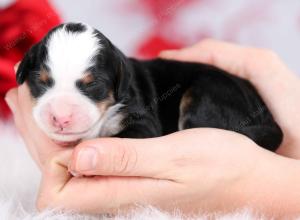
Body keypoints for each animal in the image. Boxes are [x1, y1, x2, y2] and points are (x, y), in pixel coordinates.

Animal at [15, 22, 284, 151]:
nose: (60, 118)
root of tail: (266, 115)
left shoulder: (143, 124)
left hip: (208, 94)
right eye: (41, 81)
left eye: (94, 86)